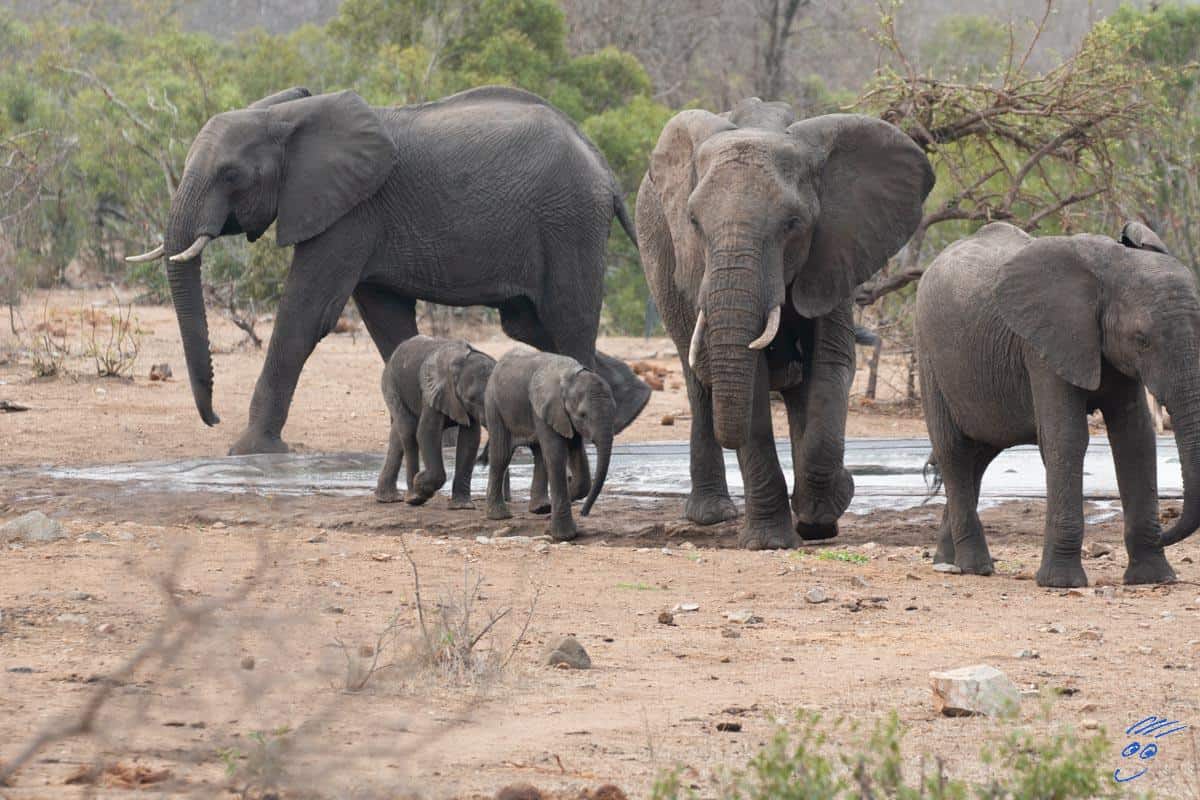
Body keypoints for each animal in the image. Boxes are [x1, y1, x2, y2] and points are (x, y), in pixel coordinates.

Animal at [126, 86, 651, 455]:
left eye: (231, 175)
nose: (212, 418)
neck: (286, 117)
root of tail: (602, 164)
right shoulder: (358, 217)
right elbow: (389, 324)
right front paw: (440, 438)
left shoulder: (351, 212)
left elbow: (306, 314)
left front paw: (250, 451)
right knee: (531, 324)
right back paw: (629, 406)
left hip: (569, 222)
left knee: (567, 319)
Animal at [376, 335, 495, 509]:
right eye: (471, 399)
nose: (483, 461)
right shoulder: (434, 391)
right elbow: (427, 432)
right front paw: (420, 484)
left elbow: (470, 440)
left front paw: (462, 506)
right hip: (391, 384)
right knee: (409, 431)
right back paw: (413, 497)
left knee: (398, 435)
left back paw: (388, 498)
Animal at [484, 350, 615, 541]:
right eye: (583, 415)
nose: (584, 513)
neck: (569, 376)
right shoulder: (546, 406)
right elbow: (557, 454)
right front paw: (564, 536)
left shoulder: (563, 416)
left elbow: (576, 452)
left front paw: (567, 494)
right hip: (494, 404)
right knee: (501, 455)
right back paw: (499, 516)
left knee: (539, 454)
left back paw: (541, 508)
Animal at [636, 98, 934, 549]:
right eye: (694, 223)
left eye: (793, 224)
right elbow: (752, 384)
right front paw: (770, 542)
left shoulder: (835, 248)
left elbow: (829, 367)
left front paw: (823, 515)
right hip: (660, 261)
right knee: (697, 377)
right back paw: (712, 515)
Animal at [916, 221, 1197, 587]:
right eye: (1142, 340)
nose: (1166, 532)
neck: (1111, 266)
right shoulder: (1041, 346)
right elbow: (1066, 438)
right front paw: (1061, 583)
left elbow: (1135, 439)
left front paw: (1153, 578)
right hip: (929, 357)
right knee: (954, 451)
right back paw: (975, 567)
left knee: (978, 457)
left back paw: (946, 562)